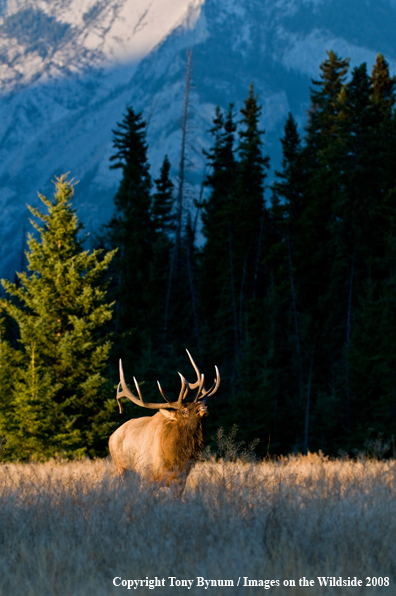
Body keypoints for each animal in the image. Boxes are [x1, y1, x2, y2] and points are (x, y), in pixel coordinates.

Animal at [108, 352, 220, 486]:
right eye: (184, 411)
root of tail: (111, 436)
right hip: (120, 467)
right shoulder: (146, 475)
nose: (203, 406)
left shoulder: (180, 479)